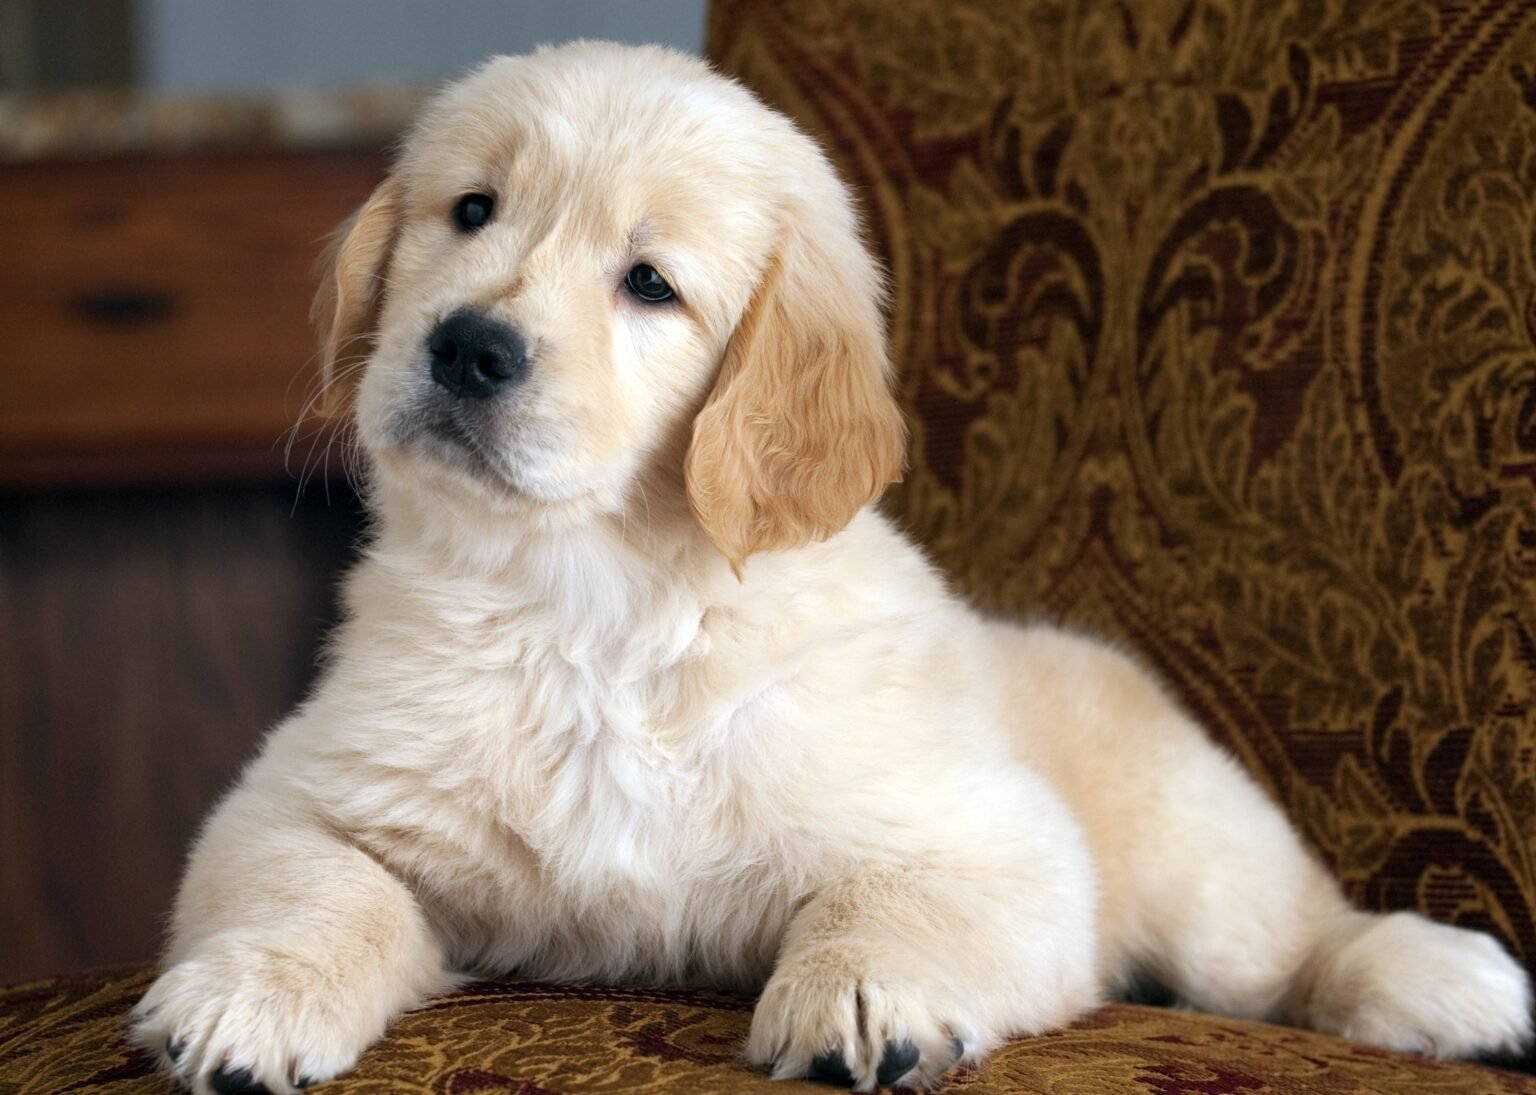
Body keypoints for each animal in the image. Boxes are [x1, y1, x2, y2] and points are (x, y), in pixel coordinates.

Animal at [135, 38, 1536, 1087]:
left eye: (651, 285)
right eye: (471, 211)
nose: (468, 347)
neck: (595, 608)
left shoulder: (995, 839)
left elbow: (882, 902)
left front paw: (864, 999)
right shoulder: (296, 797)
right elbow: (315, 889)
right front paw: (246, 1003)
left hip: (1194, 843)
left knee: (1287, 937)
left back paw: (1440, 980)